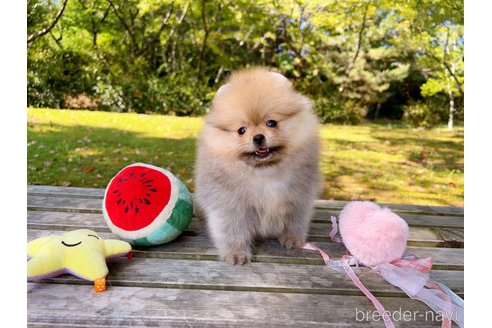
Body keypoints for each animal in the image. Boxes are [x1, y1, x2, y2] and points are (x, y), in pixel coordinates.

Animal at [194, 66, 320, 264]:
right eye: (241, 130)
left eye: (271, 123)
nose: (258, 137)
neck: (265, 172)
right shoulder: (230, 205)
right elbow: (233, 231)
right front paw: (236, 254)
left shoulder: (300, 197)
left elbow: (295, 221)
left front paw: (292, 239)